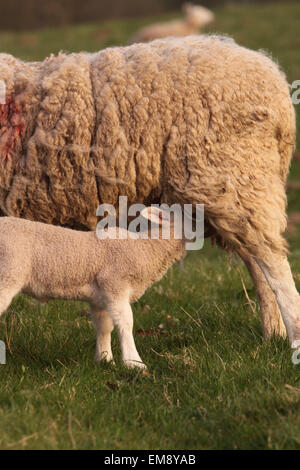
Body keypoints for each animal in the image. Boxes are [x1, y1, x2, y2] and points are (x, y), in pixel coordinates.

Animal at [0, 35, 296, 346]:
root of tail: (272, 78)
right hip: (238, 187)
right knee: (258, 263)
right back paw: (273, 332)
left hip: (232, 173)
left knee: (274, 263)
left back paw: (292, 333)